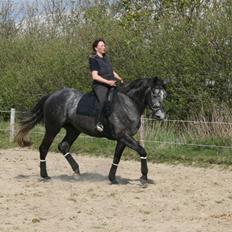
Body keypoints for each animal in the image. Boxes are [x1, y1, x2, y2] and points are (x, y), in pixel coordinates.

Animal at [16, 77, 169, 184]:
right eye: (154, 94)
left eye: (164, 95)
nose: (160, 115)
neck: (127, 104)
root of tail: (52, 95)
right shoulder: (123, 136)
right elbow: (142, 151)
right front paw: (144, 177)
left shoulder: (123, 138)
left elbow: (117, 157)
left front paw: (112, 178)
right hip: (53, 128)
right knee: (44, 148)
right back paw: (45, 175)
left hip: (74, 130)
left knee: (63, 146)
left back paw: (77, 172)